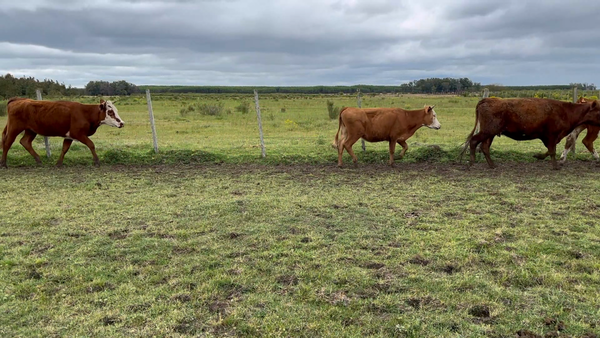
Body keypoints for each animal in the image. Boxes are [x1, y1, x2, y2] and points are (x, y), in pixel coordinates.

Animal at [464, 97, 600, 169]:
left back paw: (492, 165)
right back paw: (472, 162)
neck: (566, 111)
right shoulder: (551, 135)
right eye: (599, 111)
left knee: (484, 147)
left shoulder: (550, 137)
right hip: (487, 131)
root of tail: (488, 99)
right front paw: (555, 166)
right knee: (474, 141)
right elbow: (552, 151)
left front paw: (538, 156)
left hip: (490, 133)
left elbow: (549, 151)